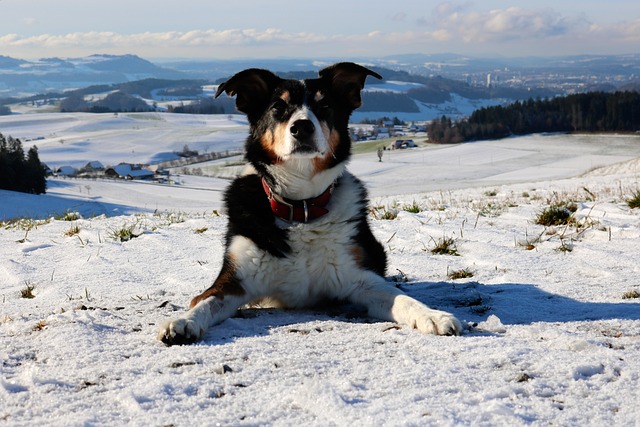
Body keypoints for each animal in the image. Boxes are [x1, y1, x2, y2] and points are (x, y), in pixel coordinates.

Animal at [158, 61, 462, 346]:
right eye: (278, 107)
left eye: (324, 105)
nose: (302, 126)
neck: (301, 207)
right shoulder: (234, 281)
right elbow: (206, 302)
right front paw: (183, 322)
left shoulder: (361, 278)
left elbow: (400, 298)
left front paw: (433, 316)